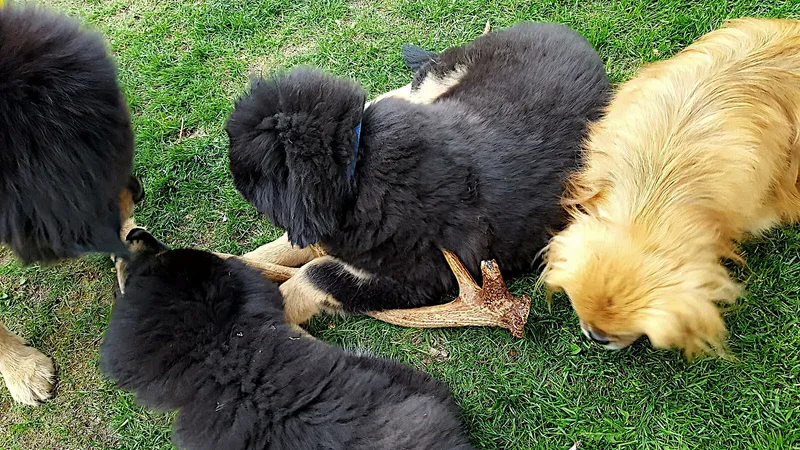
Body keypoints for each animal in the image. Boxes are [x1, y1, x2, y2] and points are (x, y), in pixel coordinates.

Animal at [226, 22, 610, 326]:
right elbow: (282, 249)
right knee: (399, 90)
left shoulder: (415, 278)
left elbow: (312, 275)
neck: (359, 164)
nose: (232, 176)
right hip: (438, 81)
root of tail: (568, 33)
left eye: (250, 172)